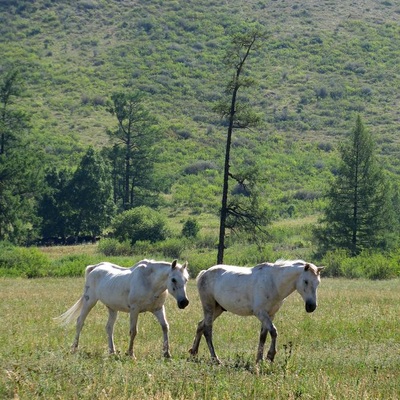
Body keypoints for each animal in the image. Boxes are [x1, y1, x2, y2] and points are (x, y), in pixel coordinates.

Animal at [55, 260, 191, 360]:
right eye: (173, 279)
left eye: (186, 279)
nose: (184, 302)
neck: (150, 282)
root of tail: (94, 268)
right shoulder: (134, 310)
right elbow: (133, 331)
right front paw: (130, 354)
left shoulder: (158, 309)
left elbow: (165, 327)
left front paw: (167, 353)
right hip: (89, 301)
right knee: (80, 322)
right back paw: (74, 348)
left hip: (112, 309)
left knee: (109, 328)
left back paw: (112, 351)